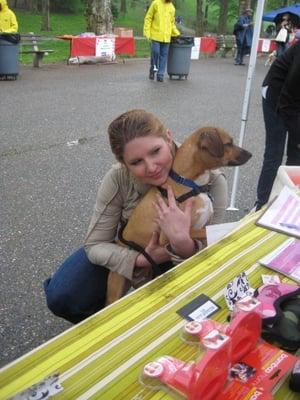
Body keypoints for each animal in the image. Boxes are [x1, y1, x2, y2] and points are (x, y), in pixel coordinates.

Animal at [105, 126, 251, 304]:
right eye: (229, 143)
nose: (250, 154)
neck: (191, 184)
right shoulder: (170, 235)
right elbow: (202, 231)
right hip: (115, 288)